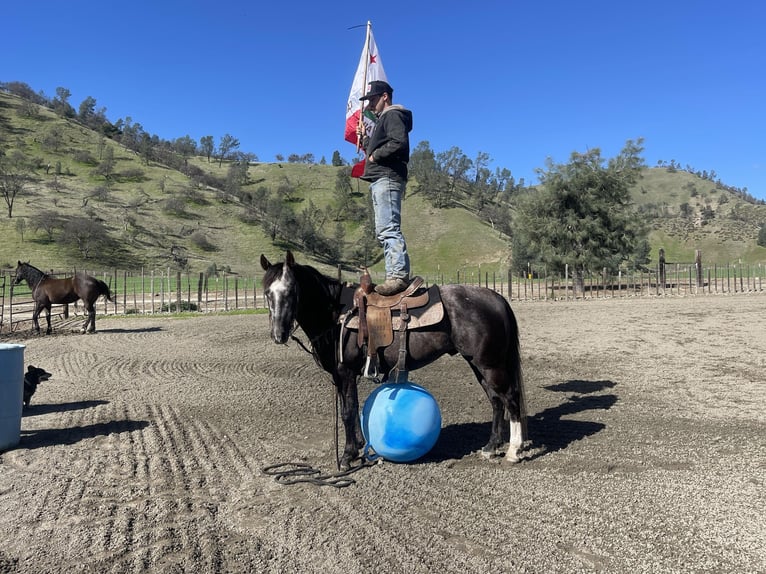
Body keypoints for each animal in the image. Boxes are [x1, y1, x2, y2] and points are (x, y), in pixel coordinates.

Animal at [260, 253, 528, 472]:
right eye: (267, 293)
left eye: (291, 290)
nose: (278, 334)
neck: (336, 315)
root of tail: (495, 297)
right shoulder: (341, 376)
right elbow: (352, 408)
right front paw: (360, 446)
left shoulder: (345, 372)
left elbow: (347, 411)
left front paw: (347, 456)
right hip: (478, 364)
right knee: (495, 400)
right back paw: (490, 447)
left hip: (490, 365)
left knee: (510, 398)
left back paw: (513, 451)